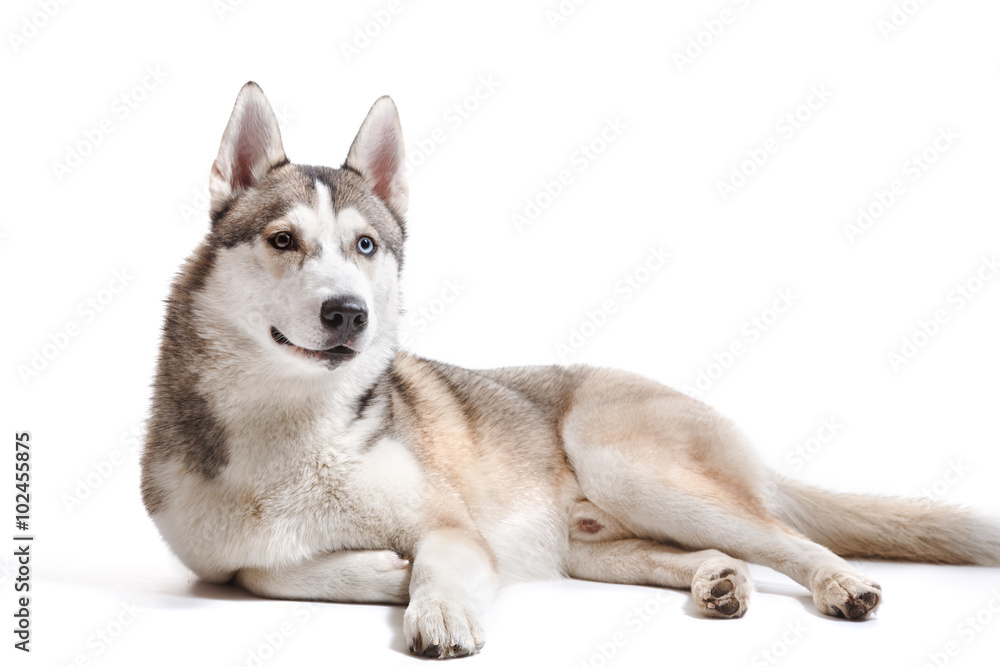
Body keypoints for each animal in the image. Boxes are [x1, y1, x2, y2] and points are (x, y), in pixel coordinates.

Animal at [143, 82, 1000, 656]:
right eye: (282, 240)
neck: (294, 424)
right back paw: (716, 579)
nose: (348, 312)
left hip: (626, 462)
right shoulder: (218, 560)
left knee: (789, 536)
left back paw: (840, 583)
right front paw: (382, 571)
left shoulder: (450, 525)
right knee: (712, 549)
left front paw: (435, 605)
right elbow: (263, 571)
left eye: (365, 246)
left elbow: (437, 564)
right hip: (596, 541)